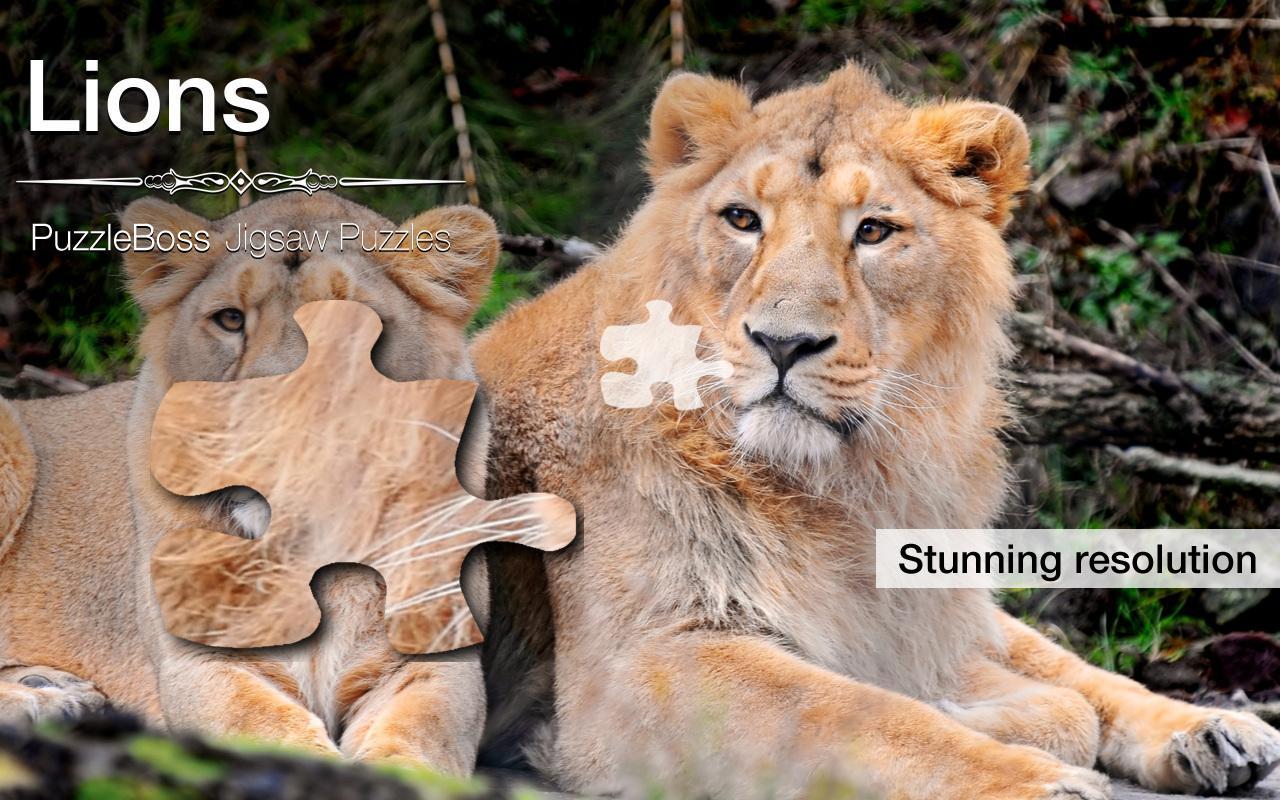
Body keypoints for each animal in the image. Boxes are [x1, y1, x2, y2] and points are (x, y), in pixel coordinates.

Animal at [472, 64, 1280, 798]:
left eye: (874, 231)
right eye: (742, 220)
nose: (784, 343)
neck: (846, 482)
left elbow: (1049, 680)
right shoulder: (635, 667)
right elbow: (861, 714)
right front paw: (1034, 777)